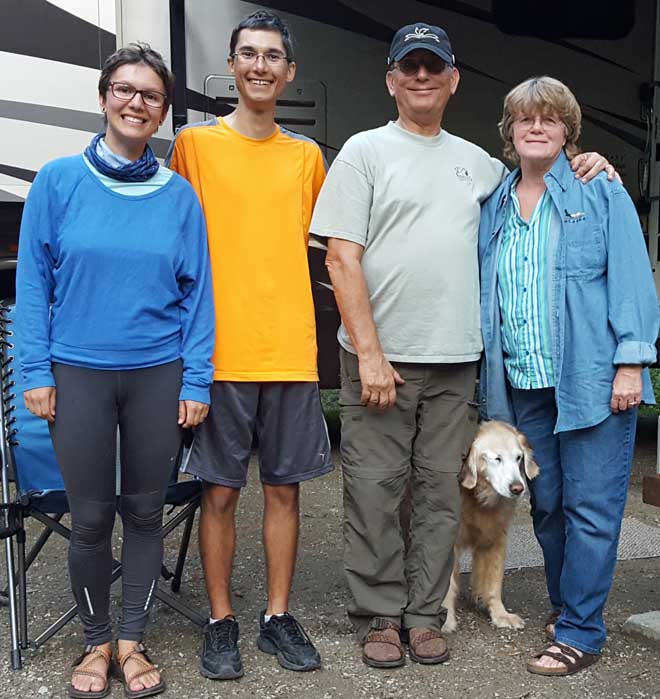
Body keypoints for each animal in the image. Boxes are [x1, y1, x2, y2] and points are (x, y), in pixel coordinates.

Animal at [440, 422, 540, 636]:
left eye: (518, 457)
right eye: (496, 458)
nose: (517, 488)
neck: (478, 498)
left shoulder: (495, 537)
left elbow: (494, 581)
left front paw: (500, 614)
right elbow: (446, 584)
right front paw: (445, 619)